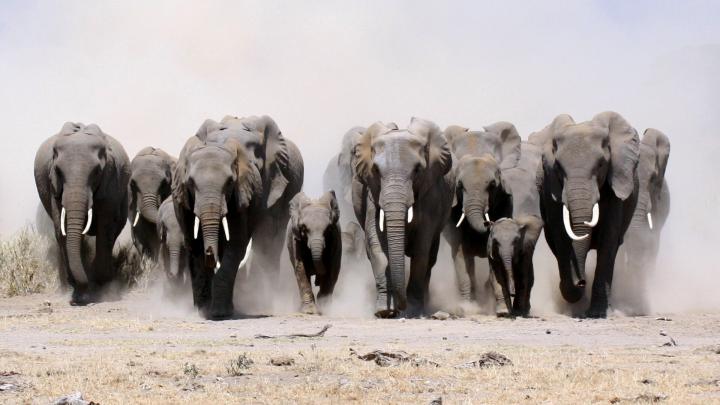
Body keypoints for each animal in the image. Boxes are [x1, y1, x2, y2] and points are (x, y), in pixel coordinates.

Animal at [34, 122, 130, 304]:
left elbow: (105, 228)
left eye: (97, 172)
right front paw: (78, 291)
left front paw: (99, 287)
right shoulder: (54, 187)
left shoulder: (111, 181)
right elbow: (61, 229)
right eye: (58, 171)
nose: (81, 299)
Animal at [172, 115, 303, 319]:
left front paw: (220, 313)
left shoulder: (255, 187)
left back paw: (264, 303)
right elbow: (194, 243)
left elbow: (237, 243)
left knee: (268, 241)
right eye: (191, 183)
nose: (210, 253)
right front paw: (204, 311)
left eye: (230, 182)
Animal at [352, 118, 453, 317]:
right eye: (376, 170)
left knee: (430, 258)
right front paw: (384, 311)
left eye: (418, 170)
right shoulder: (372, 192)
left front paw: (412, 311)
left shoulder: (431, 194)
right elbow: (377, 246)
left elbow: (421, 249)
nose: (400, 308)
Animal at [440, 122, 521, 312]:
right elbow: (460, 252)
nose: (489, 222)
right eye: (460, 185)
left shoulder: (506, 201)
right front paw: (467, 307)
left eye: (492, 185)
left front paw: (501, 309)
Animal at [532, 111, 640, 318]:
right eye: (558, 167)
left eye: (601, 165)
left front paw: (596, 313)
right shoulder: (551, 189)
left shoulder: (614, 189)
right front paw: (572, 291)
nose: (582, 281)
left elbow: (608, 241)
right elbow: (561, 237)